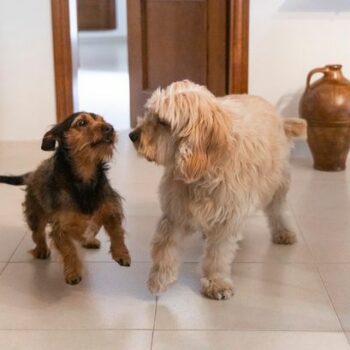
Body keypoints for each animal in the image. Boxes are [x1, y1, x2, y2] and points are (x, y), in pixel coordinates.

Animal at [0, 112, 131, 284]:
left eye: (102, 120)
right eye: (81, 123)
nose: (110, 128)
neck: (85, 177)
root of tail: (32, 174)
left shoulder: (110, 208)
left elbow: (117, 231)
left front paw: (121, 254)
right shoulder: (60, 226)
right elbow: (69, 249)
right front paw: (73, 272)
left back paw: (89, 240)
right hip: (35, 213)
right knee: (37, 233)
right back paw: (41, 249)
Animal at [129, 80, 306, 300]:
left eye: (163, 121)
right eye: (150, 113)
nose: (132, 135)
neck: (202, 170)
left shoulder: (227, 215)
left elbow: (218, 254)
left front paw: (216, 282)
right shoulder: (175, 211)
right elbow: (165, 246)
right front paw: (159, 278)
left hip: (277, 183)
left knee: (278, 209)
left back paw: (283, 231)